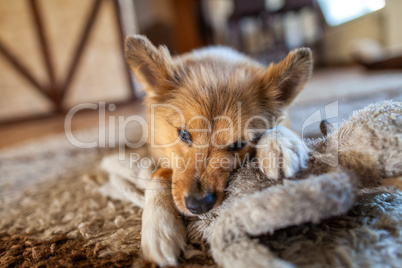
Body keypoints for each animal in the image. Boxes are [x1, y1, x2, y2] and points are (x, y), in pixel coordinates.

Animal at [124, 35, 312, 266]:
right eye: (184, 134)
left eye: (238, 145)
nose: (198, 206)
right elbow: (158, 175)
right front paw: (158, 228)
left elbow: (280, 127)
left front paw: (280, 145)